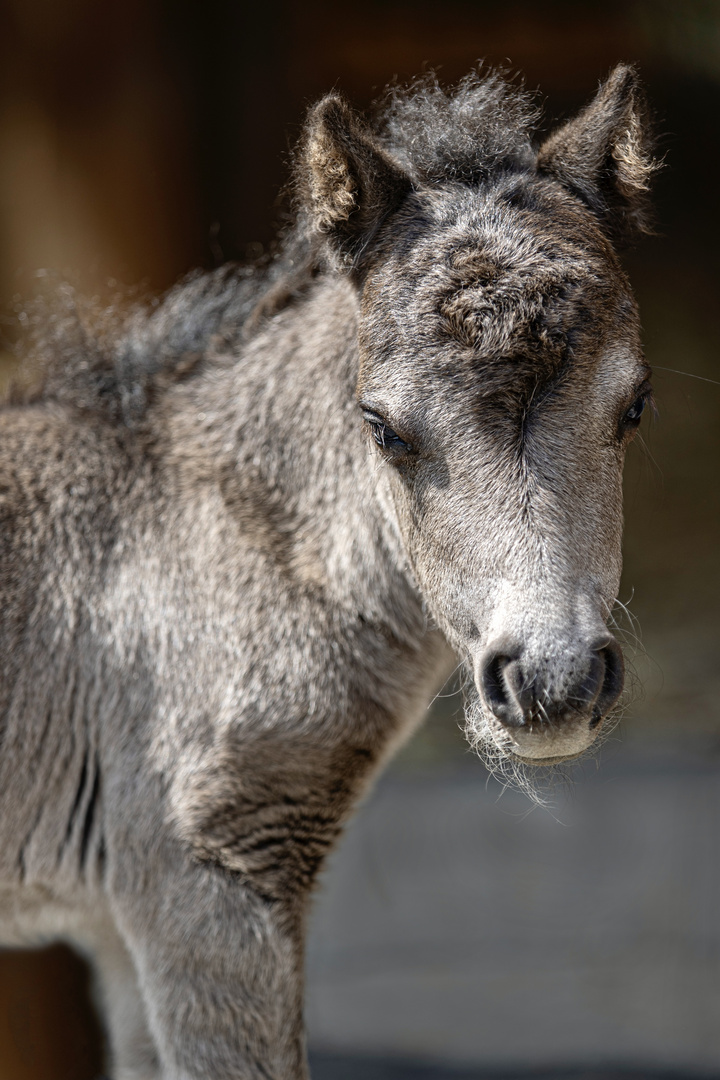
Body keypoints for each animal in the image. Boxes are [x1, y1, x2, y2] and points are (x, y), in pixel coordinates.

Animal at [0, 65, 651, 1080]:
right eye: (381, 427)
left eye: (635, 405)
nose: (555, 681)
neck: (224, 530)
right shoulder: (211, 880)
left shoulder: (117, 923)